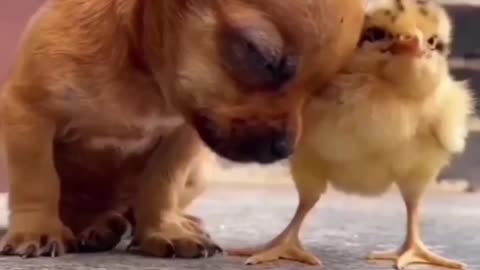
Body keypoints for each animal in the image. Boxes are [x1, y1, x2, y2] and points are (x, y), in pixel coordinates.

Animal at [0, 0, 360, 260]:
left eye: (320, 90)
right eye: (260, 56)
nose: (284, 148)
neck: (144, 75)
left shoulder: (181, 138)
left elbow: (161, 184)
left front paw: (164, 230)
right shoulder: (29, 113)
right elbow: (38, 181)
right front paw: (36, 231)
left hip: (200, 169)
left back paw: (177, 222)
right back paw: (94, 227)